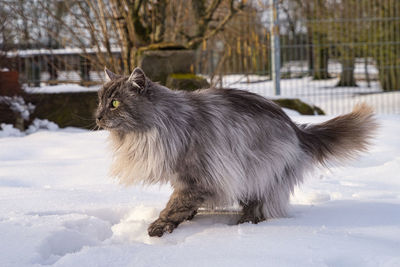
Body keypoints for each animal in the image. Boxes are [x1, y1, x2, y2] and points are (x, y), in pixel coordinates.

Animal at [97, 68, 378, 238]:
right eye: (100, 102)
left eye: (115, 103)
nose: (97, 116)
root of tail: (297, 129)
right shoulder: (186, 179)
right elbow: (182, 202)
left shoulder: (198, 177)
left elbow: (175, 205)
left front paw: (160, 226)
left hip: (261, 171)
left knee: (260, 207)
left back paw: (245, 224)